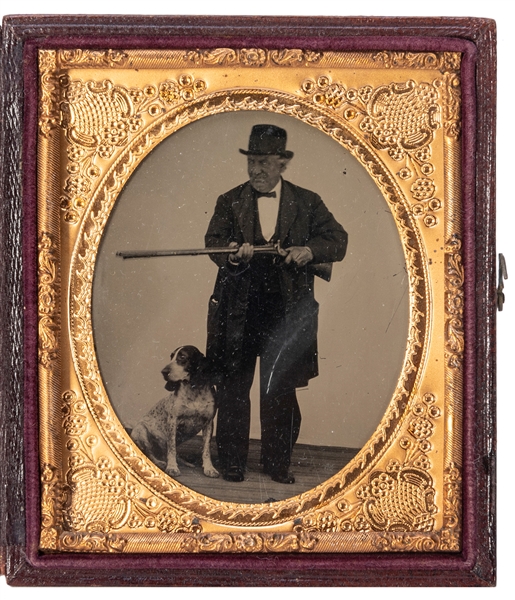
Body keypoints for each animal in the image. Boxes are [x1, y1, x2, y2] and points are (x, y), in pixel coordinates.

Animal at [130, 346, 219, 478]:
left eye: (182, 357)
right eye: (171, 356)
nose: (163, 372)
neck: (194, 390)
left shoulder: (208, 423)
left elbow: (206, 450)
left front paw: (209, 468)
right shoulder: (173, 421)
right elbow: (171, 448)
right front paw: (172, 467)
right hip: (140, 431)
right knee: (149, 453)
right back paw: (160, 462)